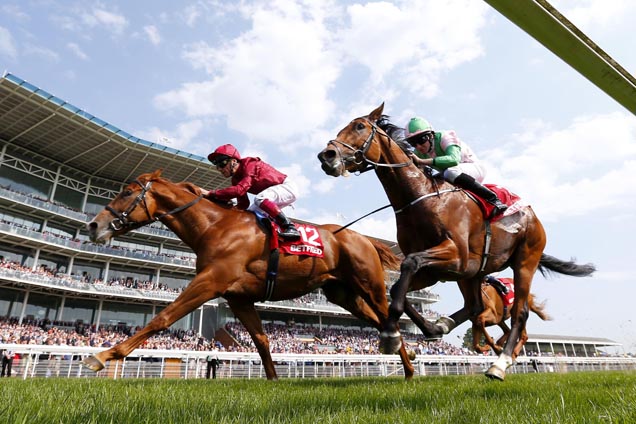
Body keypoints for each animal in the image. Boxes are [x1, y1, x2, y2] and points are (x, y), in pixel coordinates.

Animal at [82, 171, 414, 380]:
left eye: (127, 192)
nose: (94, 226)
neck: (214, 226)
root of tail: (364, 238)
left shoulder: (210, 281)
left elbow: (162, 317)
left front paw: (103, 355)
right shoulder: (238, 297)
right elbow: (261, 339)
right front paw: (273, 379)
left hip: (370, 286)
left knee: (390, 319)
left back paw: (409, 371)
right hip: (344, 295)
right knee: (382, 324)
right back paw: (405, 365)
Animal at [318, 103, 596, 380]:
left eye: (359, 126)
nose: (326, 155)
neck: (421, 197)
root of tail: (531, 214)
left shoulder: (456, 255)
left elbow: (408, 265)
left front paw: (390, 334)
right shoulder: (438, 270)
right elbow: (397, 289)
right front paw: (423, 329)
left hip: (525, 260)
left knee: (520, 312)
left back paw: (500, 363)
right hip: (473, 273)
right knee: (474, 307)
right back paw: (449, 326)